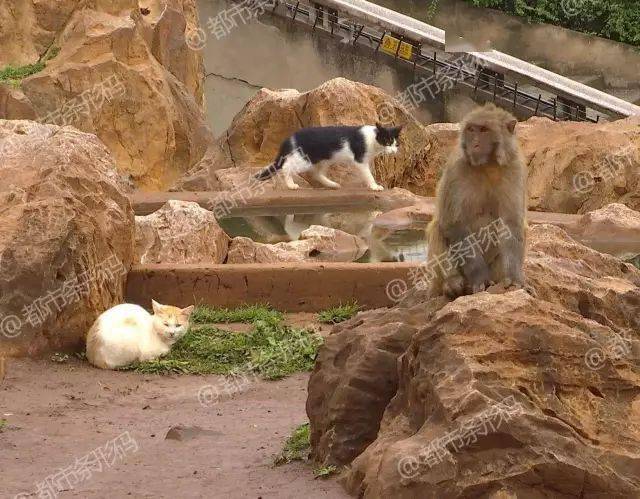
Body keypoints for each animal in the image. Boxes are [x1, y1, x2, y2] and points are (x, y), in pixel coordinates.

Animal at [254, 123, 400, 191]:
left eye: (395, 144)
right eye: (387, 141)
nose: (393, 151)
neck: (373, 138)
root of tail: (290, 138)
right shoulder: (360, 161)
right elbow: (368, 174)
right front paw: (375, 186)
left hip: (324, 159)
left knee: (316, 174)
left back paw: (332, 184)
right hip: (305, 160)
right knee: (286, 167)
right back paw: (291, 185)